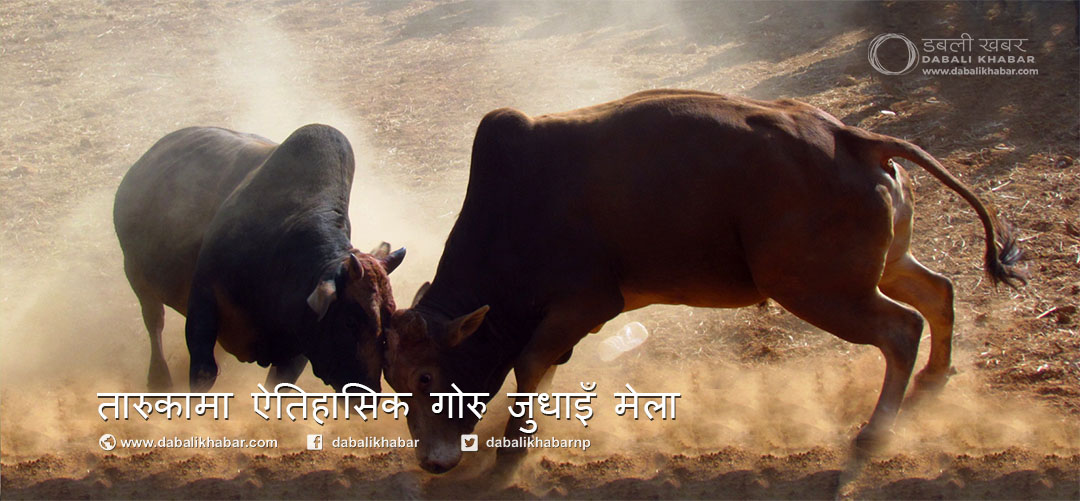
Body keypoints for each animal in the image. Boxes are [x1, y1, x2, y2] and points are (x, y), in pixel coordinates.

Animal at [114, 124, 405, 393]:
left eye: (389, 319)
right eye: (350, 321)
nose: (368, 390)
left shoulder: (297, 346)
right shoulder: (202, 302)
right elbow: (203, 373)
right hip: (135, 273)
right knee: (154, 322)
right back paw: (158, 378)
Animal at [381, 90, 1024, 480]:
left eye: (427, 376)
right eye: (395, 383)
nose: (431, 463)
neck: (515, 205)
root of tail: (852, 138)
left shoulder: (584, 303)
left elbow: (532, 364)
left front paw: (512, 451)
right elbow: (542, 369)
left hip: (823, 291)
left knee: (901, 329)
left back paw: (874, 434)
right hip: (878, 269)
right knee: (938, 293)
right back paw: (934, 380)